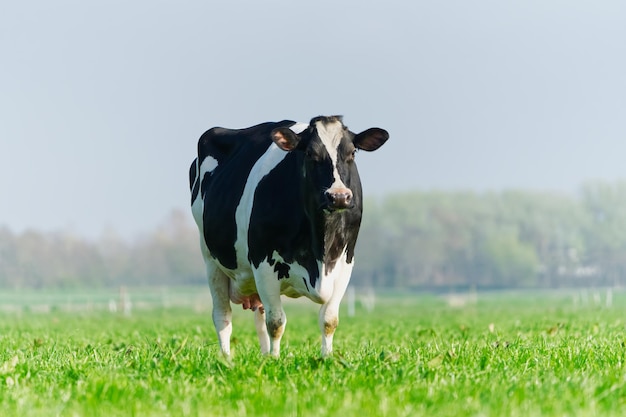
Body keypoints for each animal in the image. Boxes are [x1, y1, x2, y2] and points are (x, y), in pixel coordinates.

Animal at [188, 115, 388, 356]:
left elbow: (329, 320)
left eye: (352, 153)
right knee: (223, 316)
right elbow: (276, 322)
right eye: (310, 153)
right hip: (211, 259)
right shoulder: (263, 263)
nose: (339, 196)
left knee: (258, 316)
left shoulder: (345, 262)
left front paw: (327, 357)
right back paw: (227, 358)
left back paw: (263, 355)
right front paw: (276, 359)